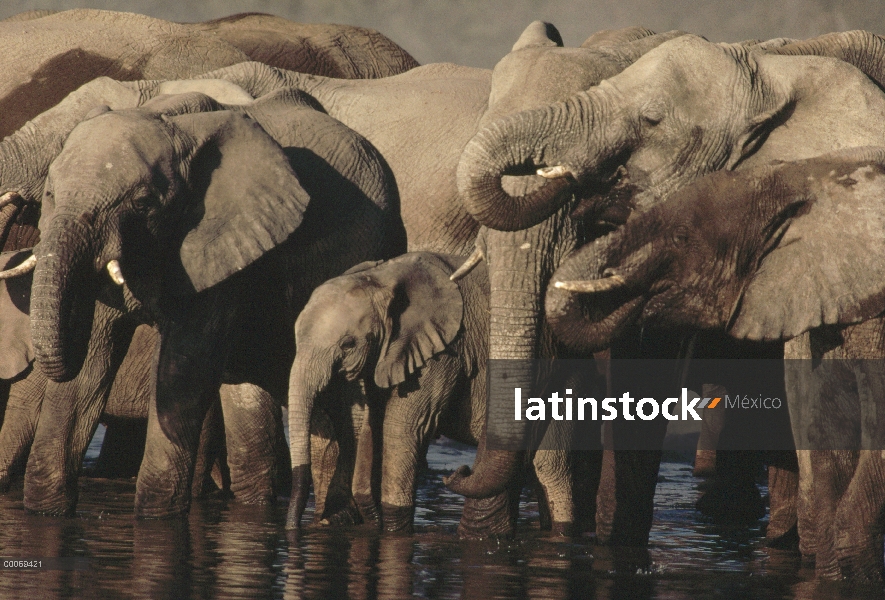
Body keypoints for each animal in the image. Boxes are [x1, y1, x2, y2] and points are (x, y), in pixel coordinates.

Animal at [17, 86, 404, 516]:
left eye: (142, 203)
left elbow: (181, 372)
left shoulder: (228, 247)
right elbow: (90, 369)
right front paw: (44, 512)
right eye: (50, 194)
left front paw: (155, 518)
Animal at [284, 251, 486, 532]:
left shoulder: (446, 350)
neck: (382, 277)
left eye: (348, 344)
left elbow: (402, 428)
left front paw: (393, 529)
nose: (293, 529)